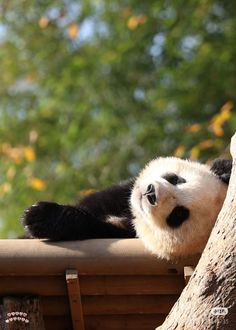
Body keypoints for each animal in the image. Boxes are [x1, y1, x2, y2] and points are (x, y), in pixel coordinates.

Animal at [21, 156, 231, 260]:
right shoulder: (118, 196)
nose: (150, 193)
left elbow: (96, 229)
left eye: (178, 214)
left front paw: (40, 218)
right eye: (176, 179)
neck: (131, 215)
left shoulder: (126, 234)